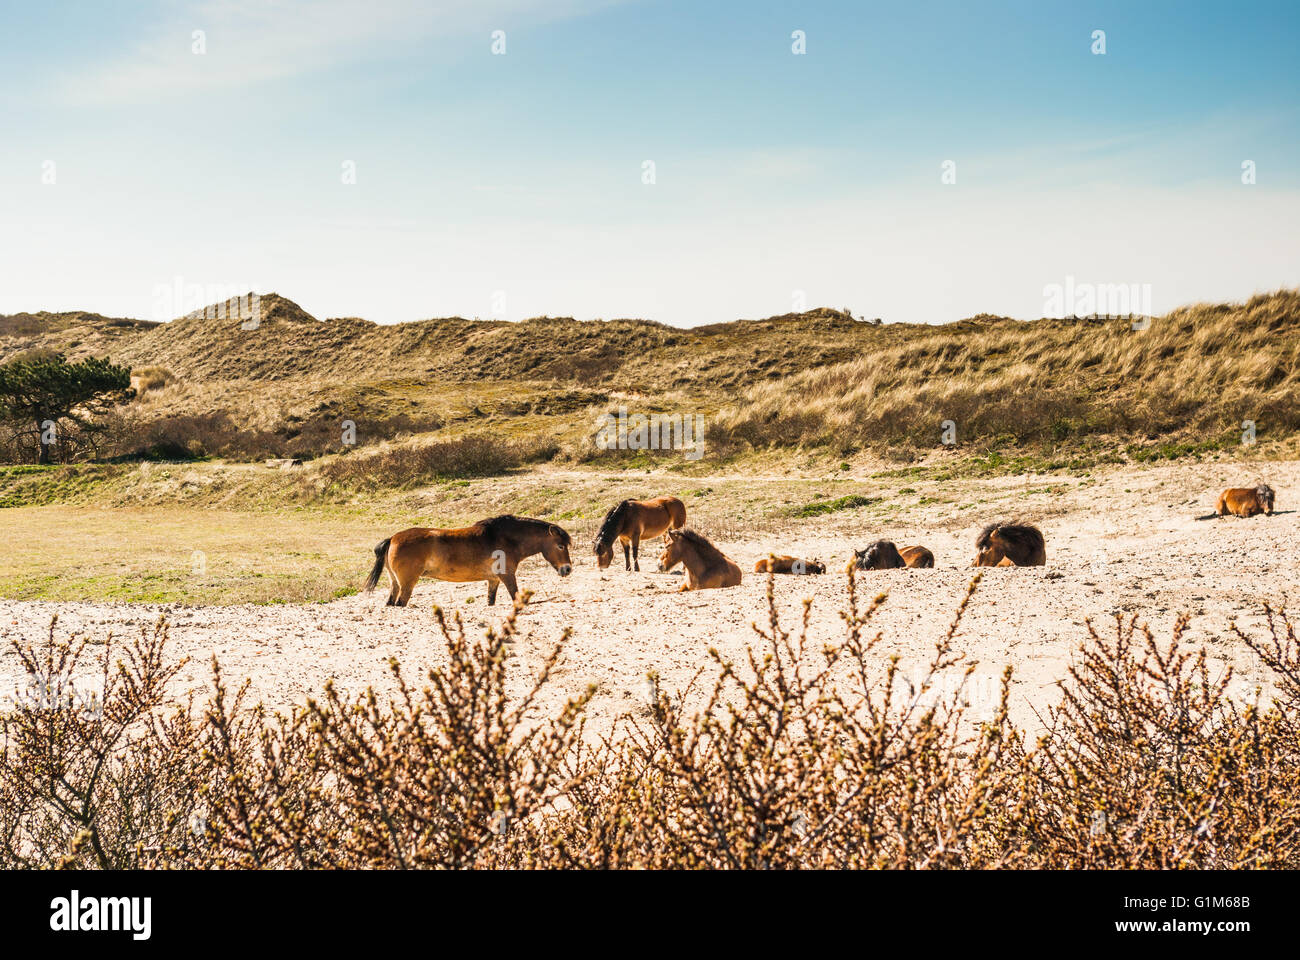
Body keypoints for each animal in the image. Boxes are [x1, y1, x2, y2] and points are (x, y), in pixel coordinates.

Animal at [364, 515, 572, 607]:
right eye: (560, 546)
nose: (568, 569)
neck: (504, 538)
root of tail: (393, 538)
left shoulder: (493, 580)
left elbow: (490, 601)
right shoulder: (508, 577)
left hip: (395, 583)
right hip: (407, 584)